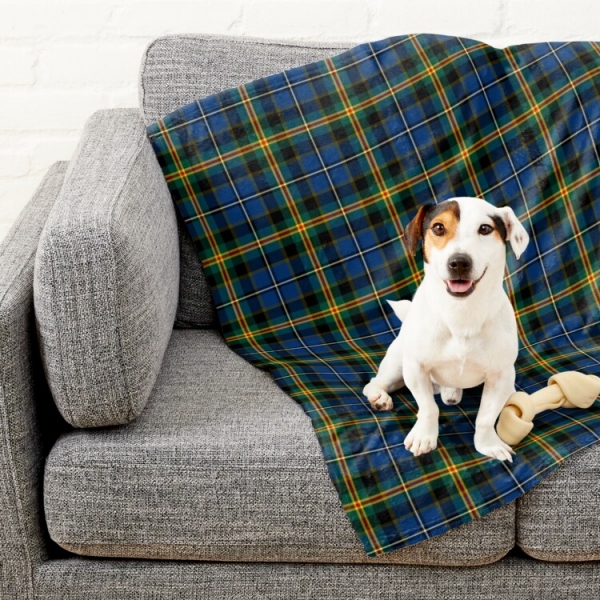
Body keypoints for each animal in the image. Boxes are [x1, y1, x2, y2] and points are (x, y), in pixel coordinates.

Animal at [364, 199, 528, 462]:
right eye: (438, 228)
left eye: (485, 228)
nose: (459, 262)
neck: (461, 315)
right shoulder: (416, 368)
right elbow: (428, 408)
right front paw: (424, 437)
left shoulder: (501, 376)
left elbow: (485, 417)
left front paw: (489, 444)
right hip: (397, 365)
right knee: (374, 382)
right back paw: (379, 397)